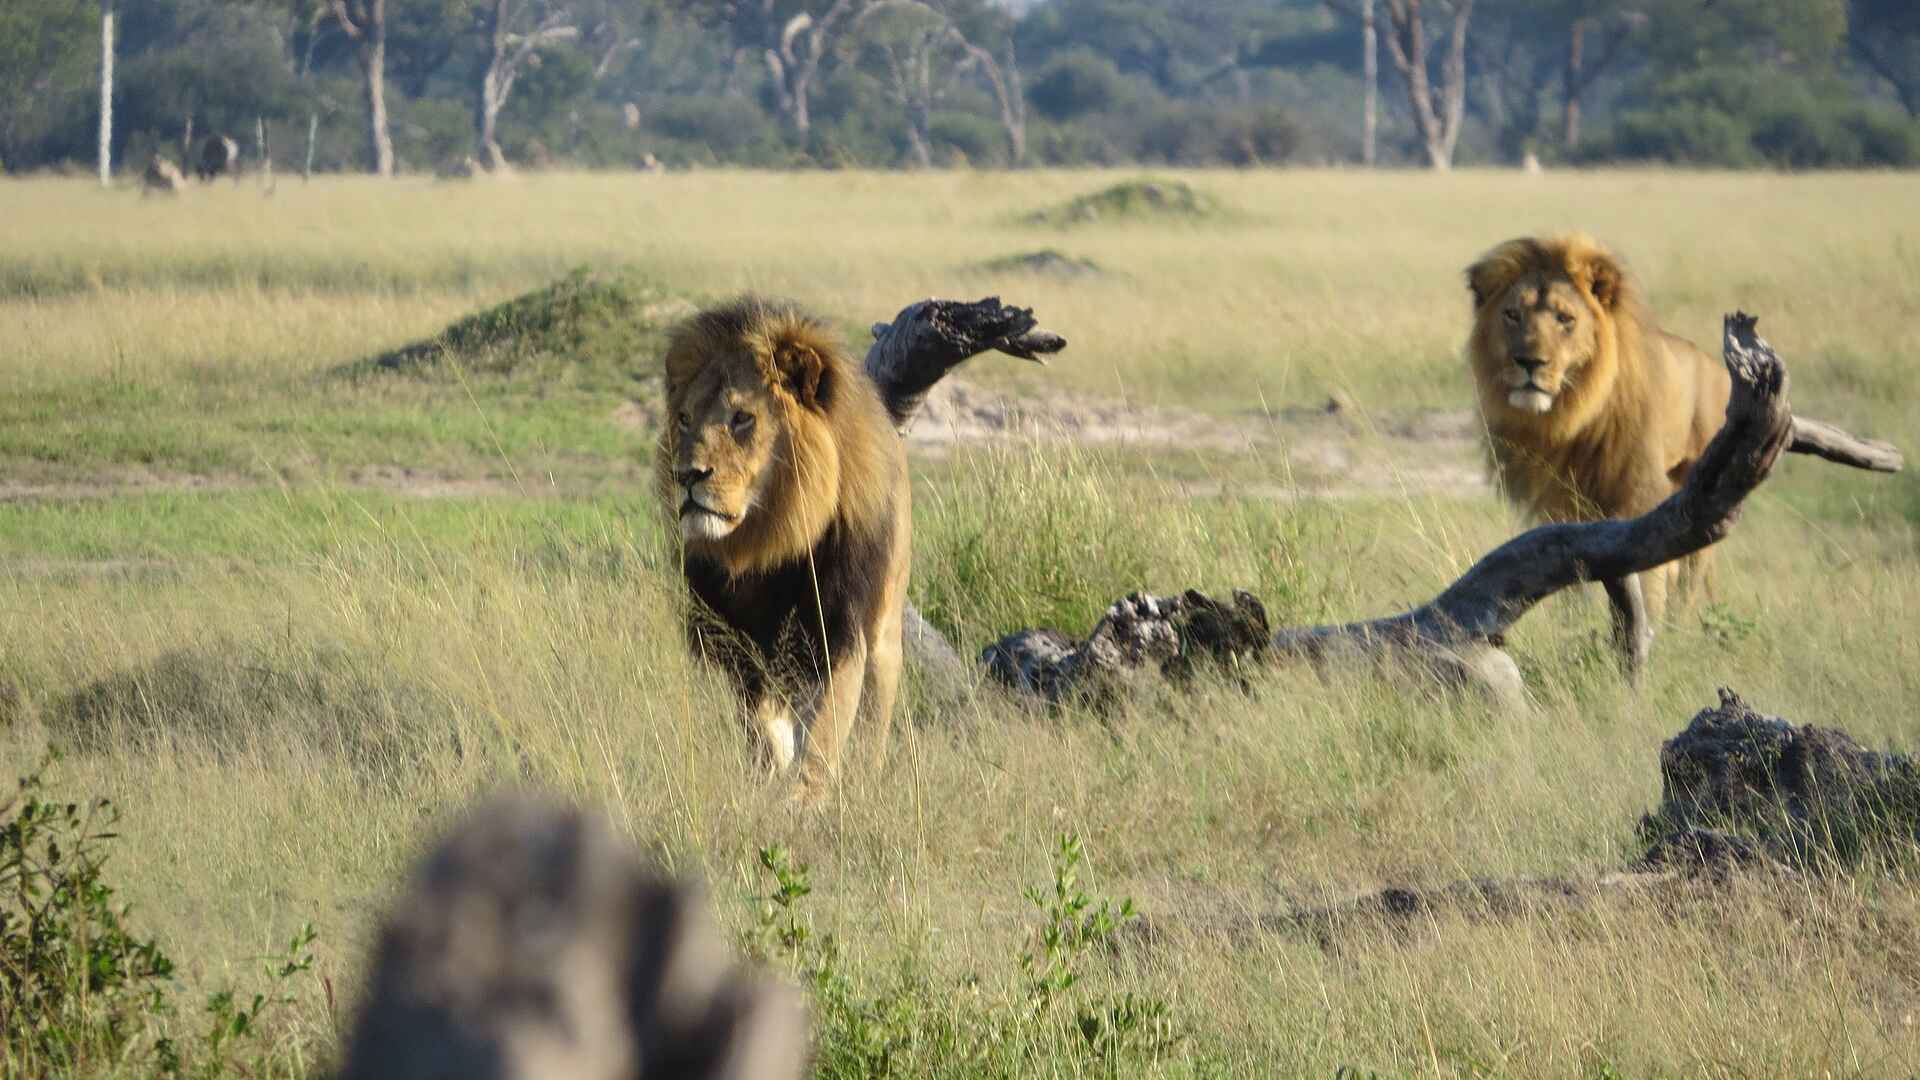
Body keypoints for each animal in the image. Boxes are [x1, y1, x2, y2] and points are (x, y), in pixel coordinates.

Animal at [659, 296, 909, 800]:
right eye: (684, 419)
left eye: (742, 418)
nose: (687, 475)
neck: (769, 540)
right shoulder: (742, 648)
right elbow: (761, 727)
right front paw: (770, 775)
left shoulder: (838, 631)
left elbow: (826, 732)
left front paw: (804, 800)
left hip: (885, 633)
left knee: (872, 722)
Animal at [1465, 233, 1730, 672]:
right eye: (1512, 315)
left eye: (1564, 319)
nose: (1529, 362)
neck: (1569, 416)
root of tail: (1715, 366)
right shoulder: (1558, 508)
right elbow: (1567, 579)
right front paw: (1573, 629)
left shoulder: (1638, 497)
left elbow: (1648, 581)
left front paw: (1645, 638)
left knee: (1691, 573)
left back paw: (1680, 628)